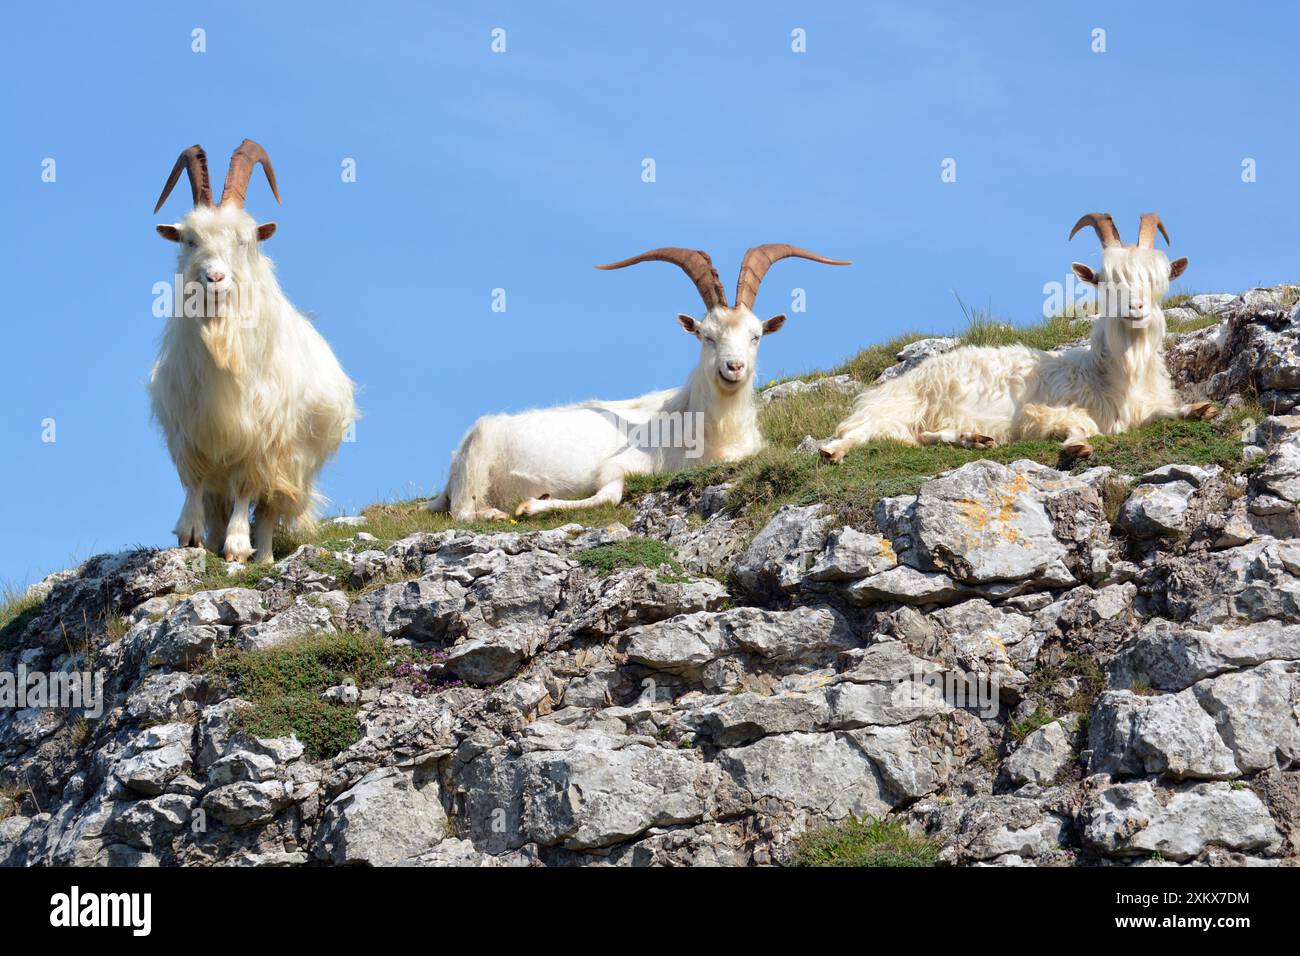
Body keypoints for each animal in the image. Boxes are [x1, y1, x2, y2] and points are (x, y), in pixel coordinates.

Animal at [149, 141, 357, 563]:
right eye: (189, 240)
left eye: (243, 240)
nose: (214, 277)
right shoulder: (189, 428)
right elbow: (194, 481)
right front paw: (190, 534)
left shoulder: (261, 439)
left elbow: (246, 488)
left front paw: (237, 547)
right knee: (217, 500)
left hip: (290, 465)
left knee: (266, 509)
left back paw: (262, 555)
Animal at [430, 245, 849, 520]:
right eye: (706, 336)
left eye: (755, 336)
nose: (733, 367)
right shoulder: (618, 466)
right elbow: (610, 495)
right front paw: (533, 504)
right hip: (477, 459)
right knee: (463, 512)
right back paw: (495, 514)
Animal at [819, 212, 1214, 465]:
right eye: (1104, 280)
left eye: (1157, 280)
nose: (1136, 308)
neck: (1107, 374)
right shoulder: (1035, 412)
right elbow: (1080, 424)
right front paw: (1076, 445)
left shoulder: (1140, 408)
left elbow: (1164, 411)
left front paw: (1198, 408)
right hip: (904, 405)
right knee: (862, 429)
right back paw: (833, 450)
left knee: (921, 436)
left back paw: (973, 438)